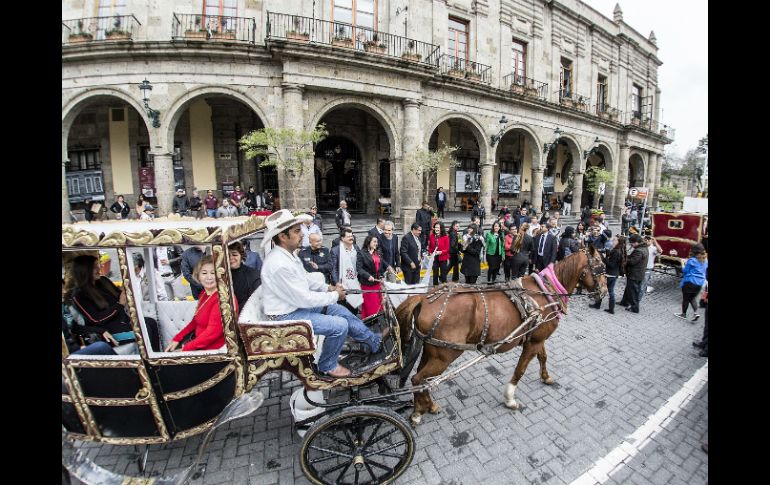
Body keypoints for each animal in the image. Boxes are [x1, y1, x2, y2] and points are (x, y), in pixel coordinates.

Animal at [396, 246, 608, 424]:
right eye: (601, 267)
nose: (604, 291)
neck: (546, 290)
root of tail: (424, 298)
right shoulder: (534, 342)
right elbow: (520, 370)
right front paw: (510, 398)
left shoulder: (537, 337)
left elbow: (543, 356)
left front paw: (546, 377)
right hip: (445, 355)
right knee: (418, 380)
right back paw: (418, 412)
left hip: (432, 350)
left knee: (422, 379)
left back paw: (427, 406)